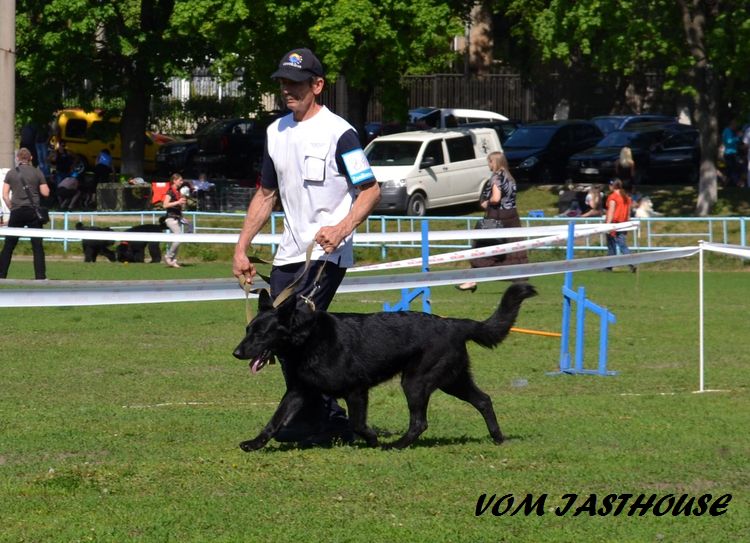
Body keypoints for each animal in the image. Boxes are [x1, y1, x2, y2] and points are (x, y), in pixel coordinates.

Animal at [232, 282, 536, 452]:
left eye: (260, 334)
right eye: (247, 330)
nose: (236, 353)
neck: (306, 339)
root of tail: (453, 323)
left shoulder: (356, 390)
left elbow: (357, 423)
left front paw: (373, 440)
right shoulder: (298, 391)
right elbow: (274, 420)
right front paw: (254, 444)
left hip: (415, 382)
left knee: (420, 422)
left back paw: (396, 446)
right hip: (453, 380)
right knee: (484, 400)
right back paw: (497, 438)